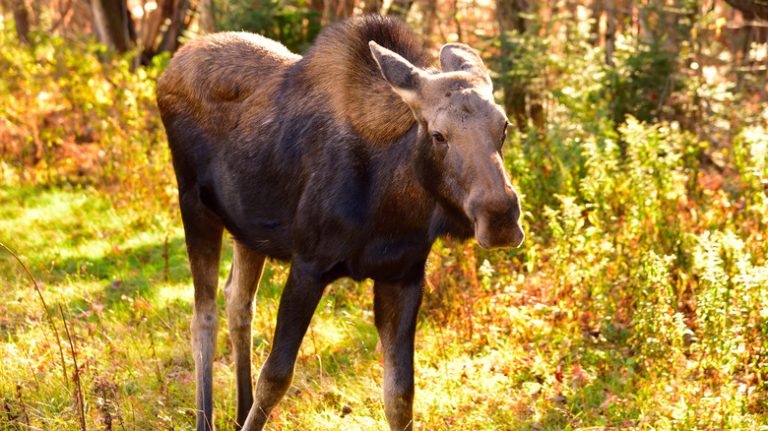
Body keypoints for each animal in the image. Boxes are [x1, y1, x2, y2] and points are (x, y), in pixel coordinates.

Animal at [158, 13, 524, 431]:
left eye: (504, 127)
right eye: (438, 134)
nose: (501, 217)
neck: (392, 207)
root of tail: (168, 70)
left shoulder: (404, 275)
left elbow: (400, 396)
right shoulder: (308, 266)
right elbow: (276, 376)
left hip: (248, 231)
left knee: (239, 303)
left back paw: (239, 410)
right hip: (194, 205)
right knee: (204, 316)